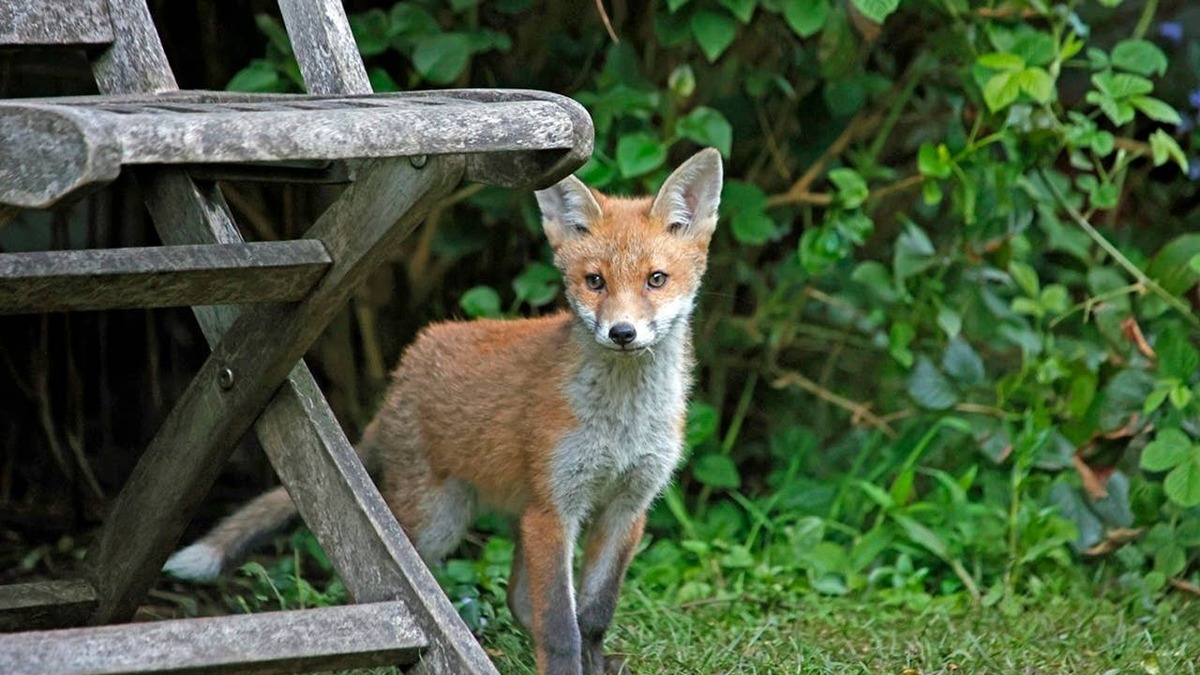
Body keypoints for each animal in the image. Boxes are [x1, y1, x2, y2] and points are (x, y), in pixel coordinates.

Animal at [163, 147, 723, 675]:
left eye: (656, 279)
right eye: (595, 282)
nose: (622, 333)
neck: (622, 422)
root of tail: (404, 372)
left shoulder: (627, 507)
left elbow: (593, 618)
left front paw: (595, 662)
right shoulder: (555, 509)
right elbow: (561, 628)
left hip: (509, 514)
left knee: (517, 597)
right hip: (437, 523)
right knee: (387, 586)